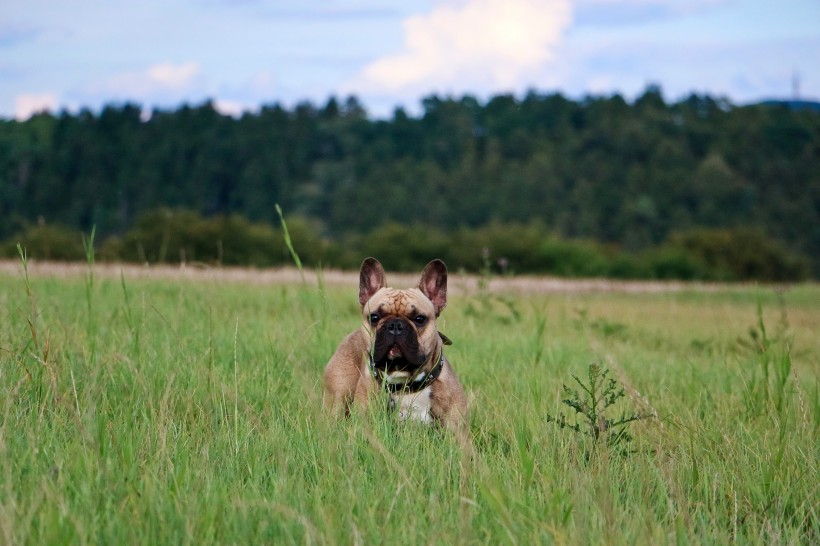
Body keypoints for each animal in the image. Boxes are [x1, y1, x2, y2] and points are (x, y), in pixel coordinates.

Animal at [326, 256, 470, 438]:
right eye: (374, 317)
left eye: (419, 319)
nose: (395, 325)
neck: (405, 384)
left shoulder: (458, 434)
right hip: (337, 397)